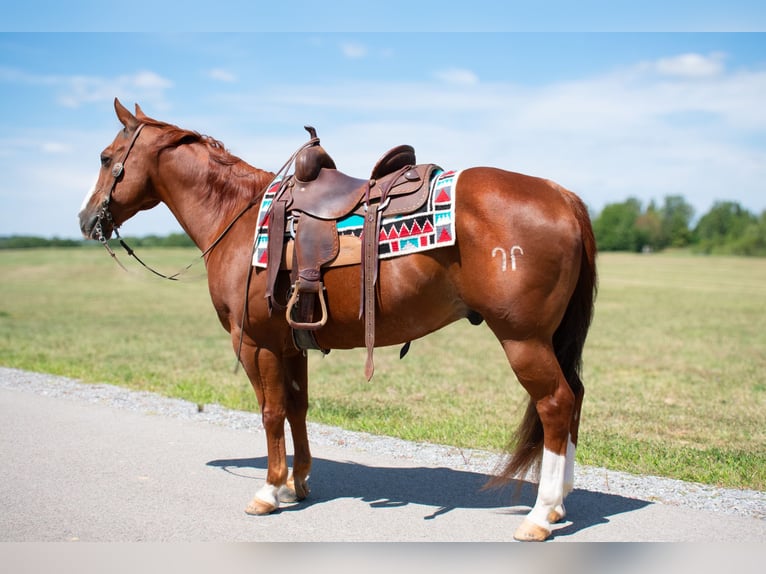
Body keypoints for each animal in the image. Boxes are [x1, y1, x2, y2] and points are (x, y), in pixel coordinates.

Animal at [79, 99, 600, 544]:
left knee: (556, 404)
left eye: (106, 158)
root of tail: (563, 196)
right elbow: (296, 407)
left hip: (523, 339)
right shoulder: (291, 344)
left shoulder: (256, 344)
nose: (86, 219)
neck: (239, 217)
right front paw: (297, 483)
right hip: (550, 339)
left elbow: (270, 412)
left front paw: (268, 490)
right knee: (574, 397)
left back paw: (540, 514)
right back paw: (558, 504)